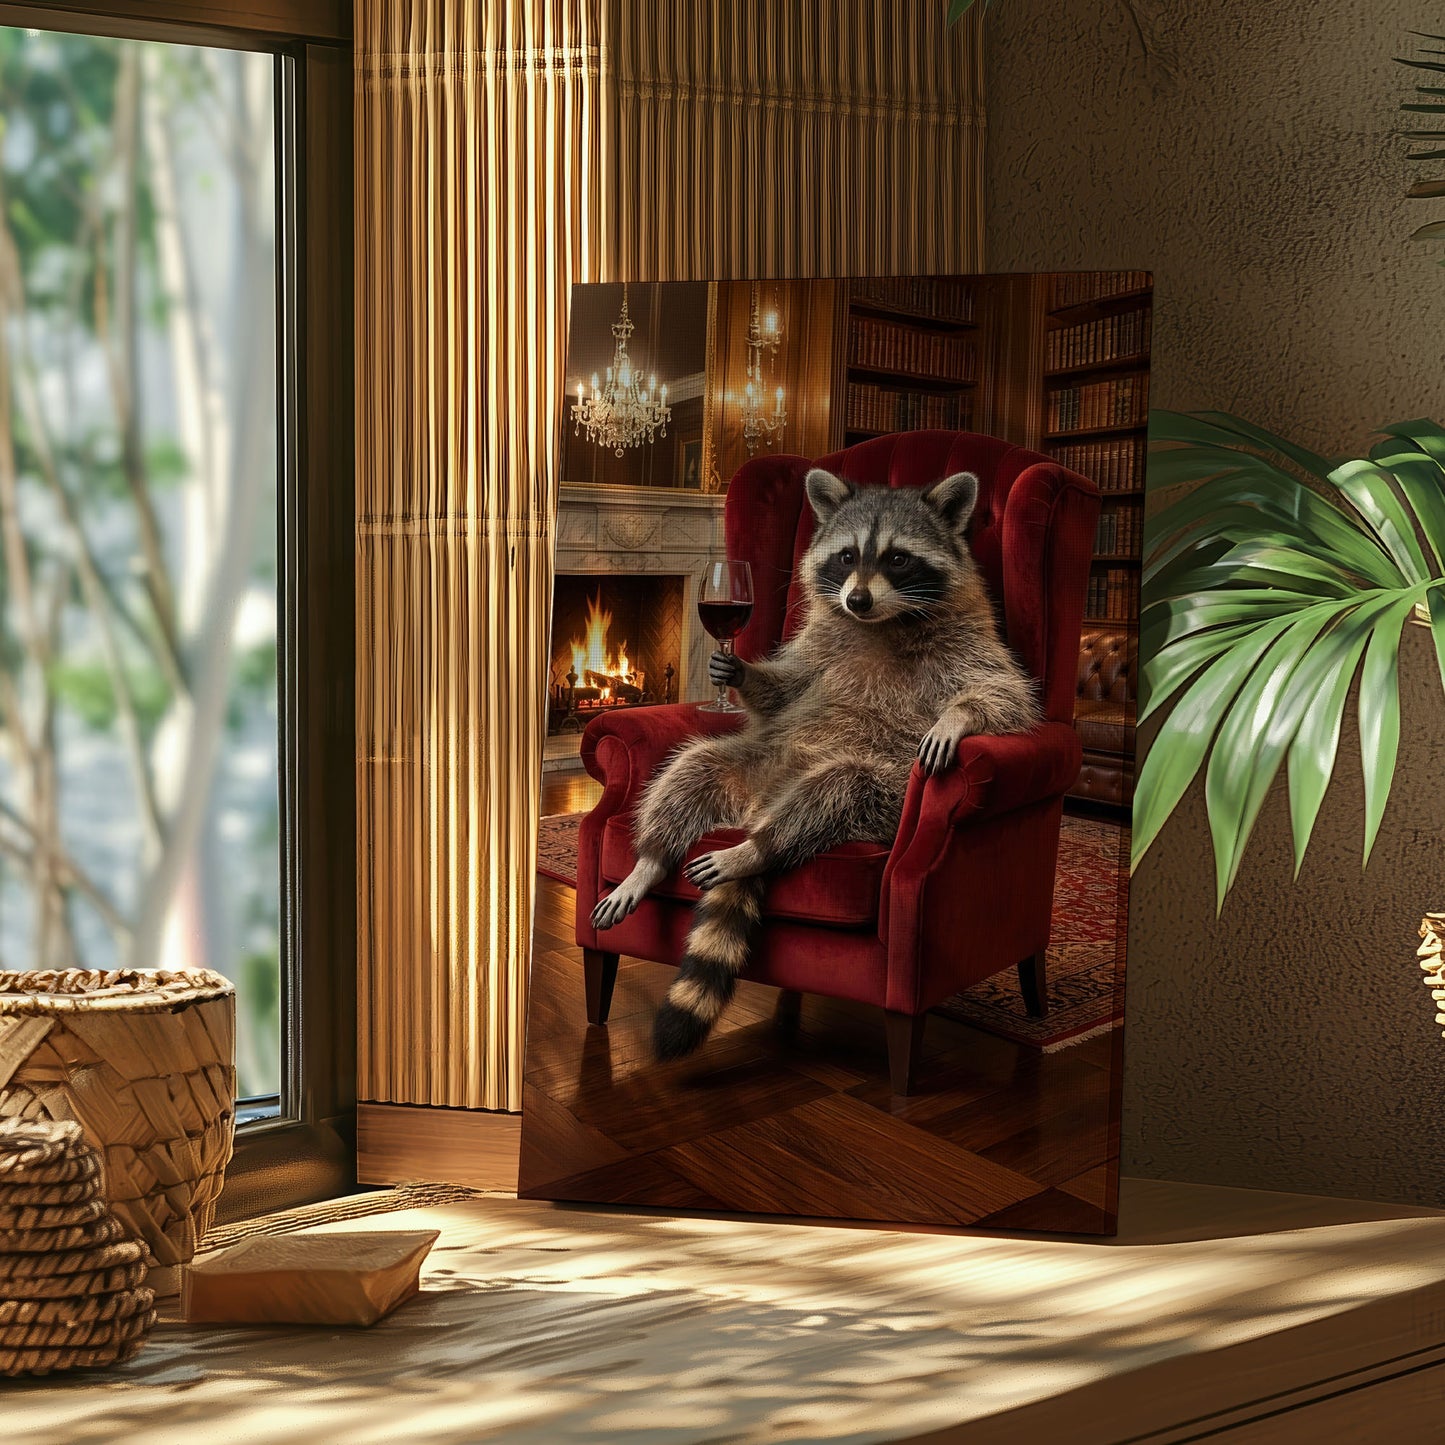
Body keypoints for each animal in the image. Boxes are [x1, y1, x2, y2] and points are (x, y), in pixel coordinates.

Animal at [590, 466, 1042, 1062]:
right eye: (847, 557)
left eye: (898, 558)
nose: (857, 599)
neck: (884, 621)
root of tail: (759, 807)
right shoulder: (817, 644)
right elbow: (787, 690)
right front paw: (742, 672)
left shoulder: (970, 642)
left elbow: (1007, 695)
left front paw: (958, 717)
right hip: (751, 762)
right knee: (692, 767)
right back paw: (649, 861)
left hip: (881, 795)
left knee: (833, 793)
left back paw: (755, 849)